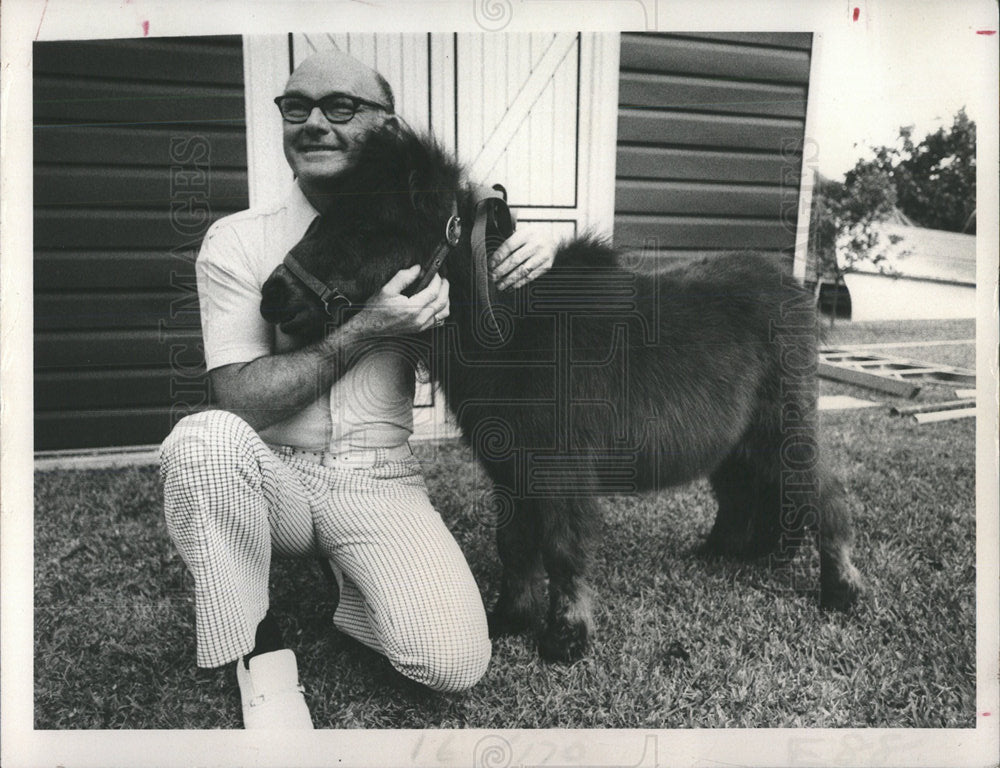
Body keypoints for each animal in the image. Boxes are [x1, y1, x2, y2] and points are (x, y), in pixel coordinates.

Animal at [258, 123, 860, 664]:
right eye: (324, 217)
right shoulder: (510, 468)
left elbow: (562, 550)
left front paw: (565, 638)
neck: (511, 330)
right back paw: (726, 554)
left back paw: (841, 591)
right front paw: (511, 617)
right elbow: (515, 544)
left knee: (822, 494)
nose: (271, 296)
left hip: (783, 427)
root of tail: (793, 289)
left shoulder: (560, 470)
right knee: (744, 492)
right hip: (737, 442)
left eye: (369, 226)